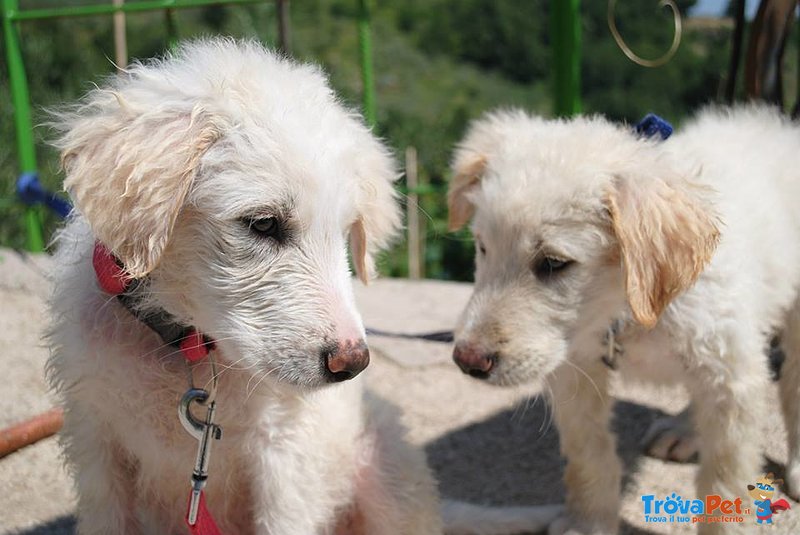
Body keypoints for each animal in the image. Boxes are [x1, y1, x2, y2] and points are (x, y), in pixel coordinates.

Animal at [446, 105, 800, 535]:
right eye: (483, 247)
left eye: (554, 263)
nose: (467, 361)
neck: (629, 309)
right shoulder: (575, 367)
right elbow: (589, 453)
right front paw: (589, 522)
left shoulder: (731, 372)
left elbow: (725, 479)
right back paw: (684, 430)